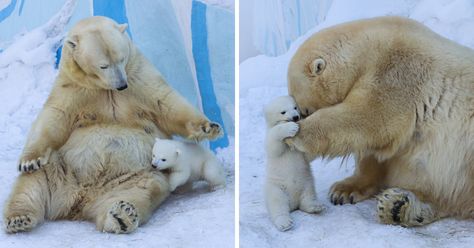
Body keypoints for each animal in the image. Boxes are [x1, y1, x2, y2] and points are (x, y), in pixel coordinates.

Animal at [264, 96, 324, 232]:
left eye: (295, 107)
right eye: (283, 112)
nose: (296, 117)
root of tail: (293, 204)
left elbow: (307, 155)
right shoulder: (270, 137)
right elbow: (273, 146)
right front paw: (290, 128)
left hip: (307, 182)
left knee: (308, 195)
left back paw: (315, 207)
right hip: (277, 187)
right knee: (278, 203)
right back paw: (284, 223)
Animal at [286, 16, 474, 228]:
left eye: (304, 110)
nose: (297, 117)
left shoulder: (399, 72)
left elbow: (368, 118)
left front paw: (296, 134)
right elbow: (374, 152)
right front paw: (344, 190)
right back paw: (398, 207)